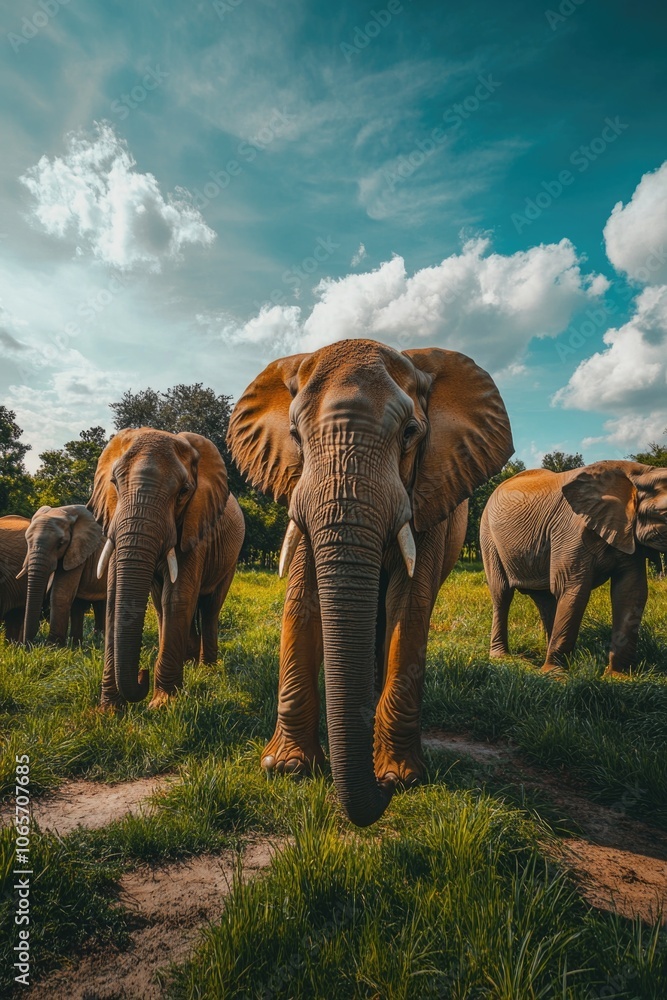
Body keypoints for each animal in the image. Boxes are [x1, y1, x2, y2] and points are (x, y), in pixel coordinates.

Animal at [19, 505, 107, 645]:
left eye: (60, 544)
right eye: (27, 542)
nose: (27, 645)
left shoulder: (78, 550)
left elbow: (60, 593)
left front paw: (52, 646)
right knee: (83, 603)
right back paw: (80, 643)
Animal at [90, 428, 245, 709]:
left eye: (184, 492)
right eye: (115, 483)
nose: (142, 673)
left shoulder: (196, 524)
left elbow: (178, 596)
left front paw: (163, 705)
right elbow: (115, 598)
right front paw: (108, 710)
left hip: (231, 560)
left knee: (209, 608)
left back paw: (207, 669)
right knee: (163, 605)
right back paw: (190, 663)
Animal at [227, 339, 513, 826]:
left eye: (410, 432)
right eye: (296, 436)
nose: (383, 792)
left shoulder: (428, 493)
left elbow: (410, 606)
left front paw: (400, 777)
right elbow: (301, 600)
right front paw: (286, 769)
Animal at [480, 460, 667, 675]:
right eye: (665, 514)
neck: (640, 473)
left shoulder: (628, 535)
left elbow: (630, 591)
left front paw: (618, 676)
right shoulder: (571, 533)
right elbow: (573, 589)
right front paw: (554, 675)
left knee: (544, 598)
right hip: (488, 537)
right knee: (502, 593)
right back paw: (501, 658)